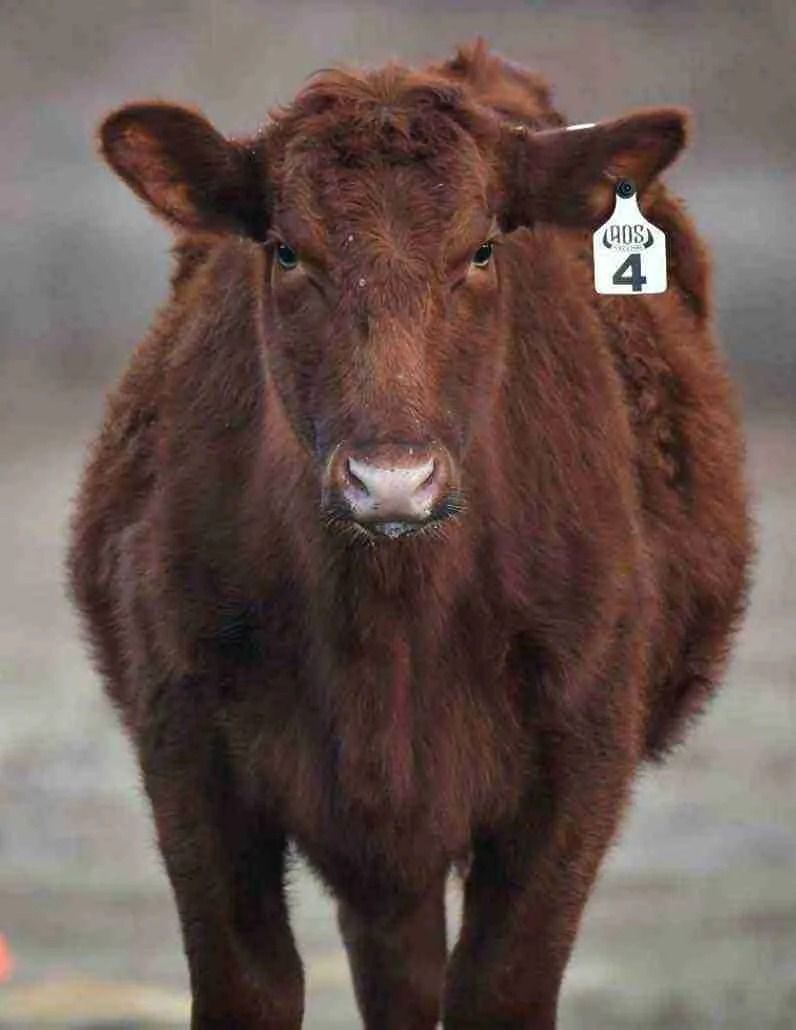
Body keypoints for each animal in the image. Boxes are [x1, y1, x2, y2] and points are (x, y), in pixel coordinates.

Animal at [68, 39, 751, 1030]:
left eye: (482, 249)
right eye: (287, 249)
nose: (391, 478)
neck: (385, 633)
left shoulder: (581, 758)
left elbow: (499, 986)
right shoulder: (186, 745)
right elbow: (254, 982)